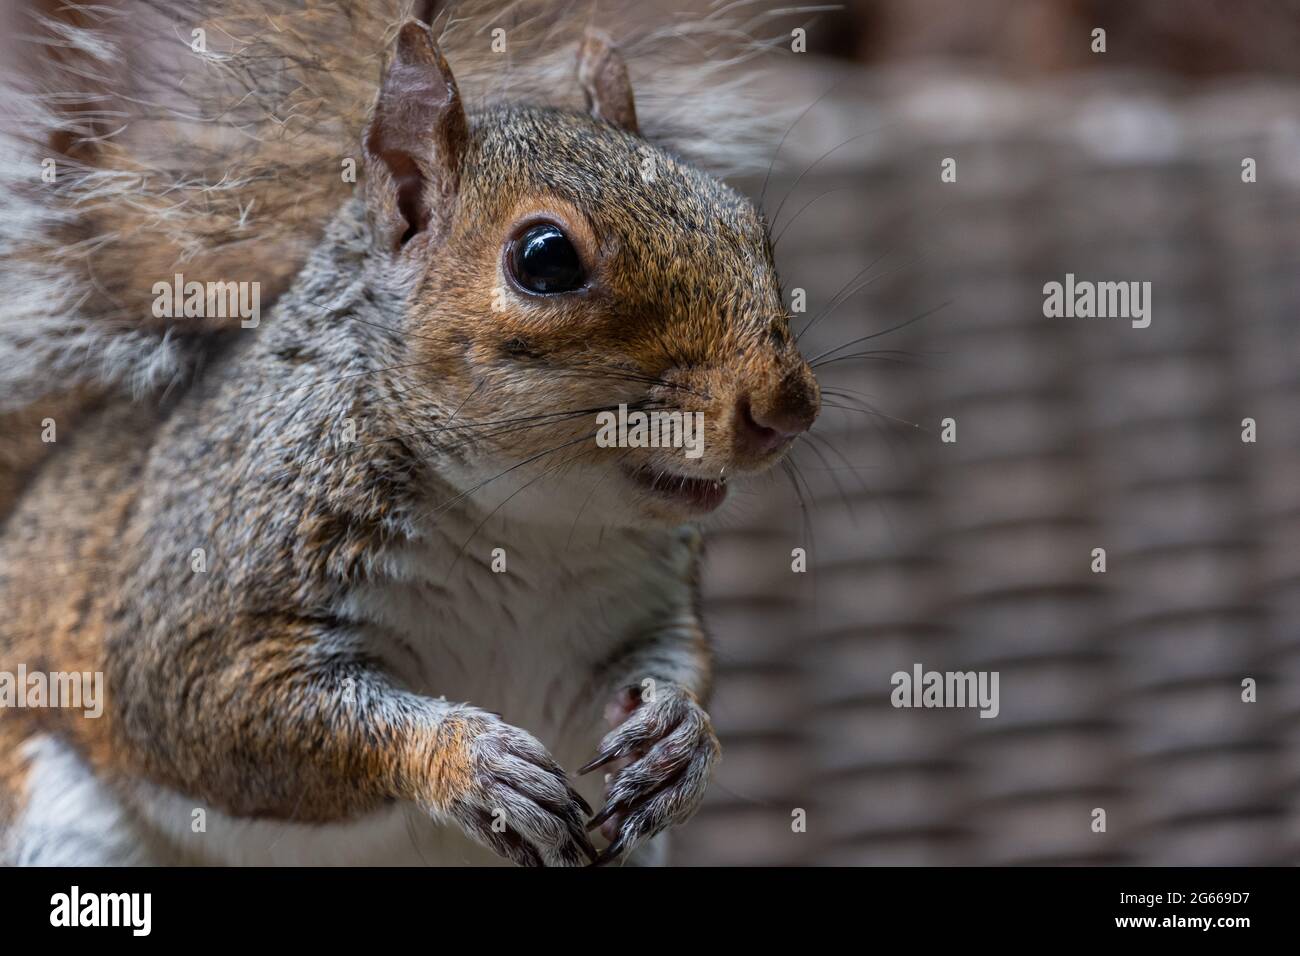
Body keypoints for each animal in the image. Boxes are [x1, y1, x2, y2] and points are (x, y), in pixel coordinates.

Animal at [0, 1, 816, 868]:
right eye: (546, 259)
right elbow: (202, 701)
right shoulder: (210, 580)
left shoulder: (644, 607)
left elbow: (678, 660)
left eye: (743, 216)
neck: (532, 526)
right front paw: (468, 760)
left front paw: (680, 736)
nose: (786, 408)